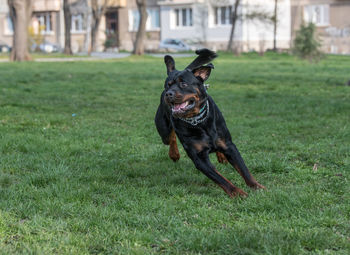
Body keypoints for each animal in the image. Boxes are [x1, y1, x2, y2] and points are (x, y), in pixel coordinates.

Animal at [154, 49, 264, 197]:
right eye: (167, 85)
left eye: (184, 84)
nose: (168, 93)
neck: (199, 121)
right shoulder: (199, 158)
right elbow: (221, 179)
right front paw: (237, 193)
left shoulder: (230, 146)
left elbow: (244, 170)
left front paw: (256, 187)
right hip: (163, 129)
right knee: (170, 137)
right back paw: (174, 154)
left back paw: (221, 156)